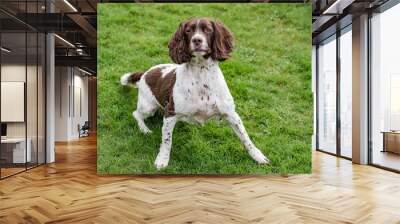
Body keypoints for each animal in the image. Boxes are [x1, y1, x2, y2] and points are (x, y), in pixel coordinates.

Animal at [119, 18, 268, 169]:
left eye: (208, 30)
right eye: (188, 30)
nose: (197, 40)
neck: (202, 74)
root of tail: (145, 73)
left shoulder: (231, 113)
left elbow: (245, 137)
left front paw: (258, 156)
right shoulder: (170, 114)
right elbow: (167, 141)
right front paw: (162, 159)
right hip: (148, 107)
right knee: (136, 114)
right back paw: (144, 129)